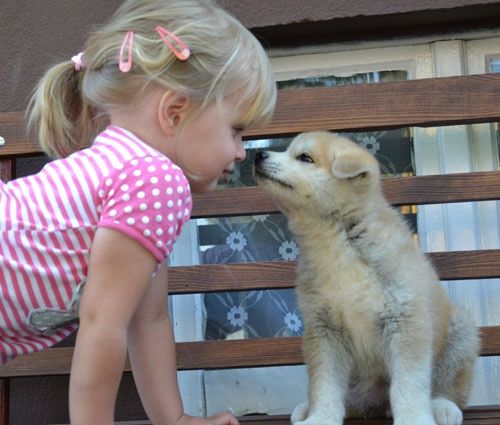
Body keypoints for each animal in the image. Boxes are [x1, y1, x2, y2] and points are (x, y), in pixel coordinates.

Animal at [256, 132, 478, 424]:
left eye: (304, 157)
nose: (258, 155)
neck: (336, 242)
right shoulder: (324, 330)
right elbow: (325, 385)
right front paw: (321, 416)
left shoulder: (406, 321)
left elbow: (408, 385)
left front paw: (414, 417)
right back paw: (308, 408)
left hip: (460, 333)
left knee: (448, 385)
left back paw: (442, 406)